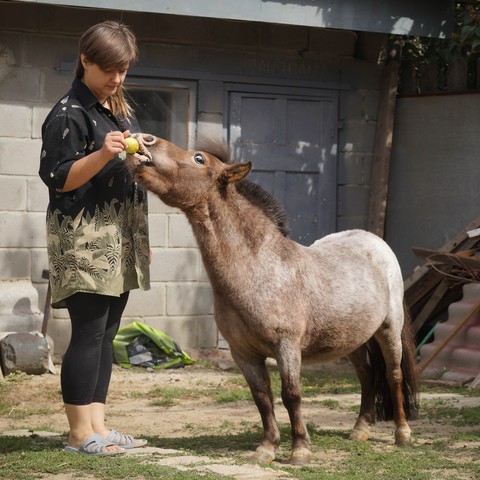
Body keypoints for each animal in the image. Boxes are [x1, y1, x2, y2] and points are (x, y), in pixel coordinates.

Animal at [125, 133, 418, 464]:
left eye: (199, 159)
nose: (144, 139)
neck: (260, 268)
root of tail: (376, 242)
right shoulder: (243, 353)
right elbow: (262, 397)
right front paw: (267, 447)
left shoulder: (286, 347)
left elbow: (291, 394)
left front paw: (300, 449)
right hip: (351, 340)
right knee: (367, 377)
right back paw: (360, 430)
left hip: (388, 330)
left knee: (393, 376)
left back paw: (402, 434)